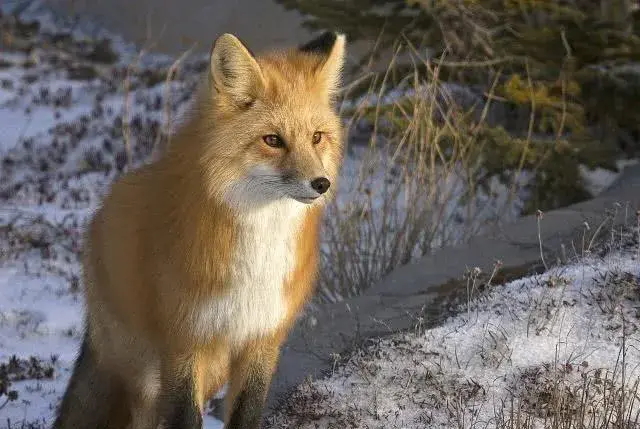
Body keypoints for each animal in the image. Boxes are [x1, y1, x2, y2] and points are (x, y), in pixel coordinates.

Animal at [52, 30, 348, 428]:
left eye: (317, 137)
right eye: (273, 140)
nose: (321, 183)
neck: (259, 252)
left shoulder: (262, 339)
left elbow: (246, 414)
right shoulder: (185, 341)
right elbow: (185, 418)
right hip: (147, 376)